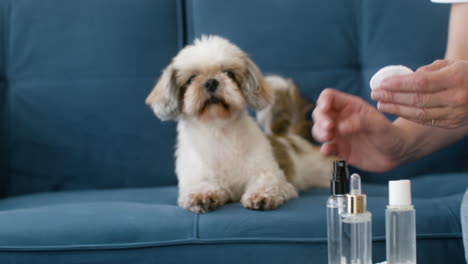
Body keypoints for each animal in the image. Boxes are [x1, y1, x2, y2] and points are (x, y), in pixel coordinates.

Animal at [146, 35, 332, 212]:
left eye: (229, 74)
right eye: (191, 78)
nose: (211, 81)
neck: (218, 130)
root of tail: (291, 137)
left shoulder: (271, 174)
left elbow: (267, 182)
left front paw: (261, 196)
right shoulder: (196, 176)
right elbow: (201, 186)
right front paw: (201, 196)